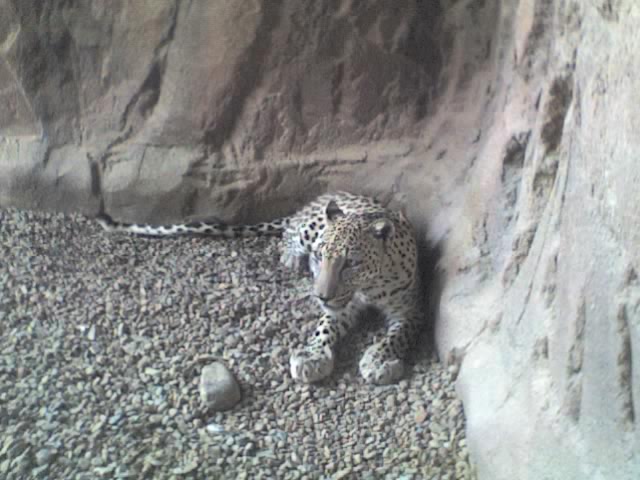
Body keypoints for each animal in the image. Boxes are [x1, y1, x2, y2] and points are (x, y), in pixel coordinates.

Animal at [96, 193, 420, 384]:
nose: (320, 295)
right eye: (320, 256)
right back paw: (291, 258)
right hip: (309, 226)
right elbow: (325, 327)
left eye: (351, 263)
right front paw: (312, 357)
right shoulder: (340, 306)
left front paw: (378, 360)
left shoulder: (410, 313)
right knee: (289, 232)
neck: (368, 288)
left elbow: (394, 338)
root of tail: (324, 195)